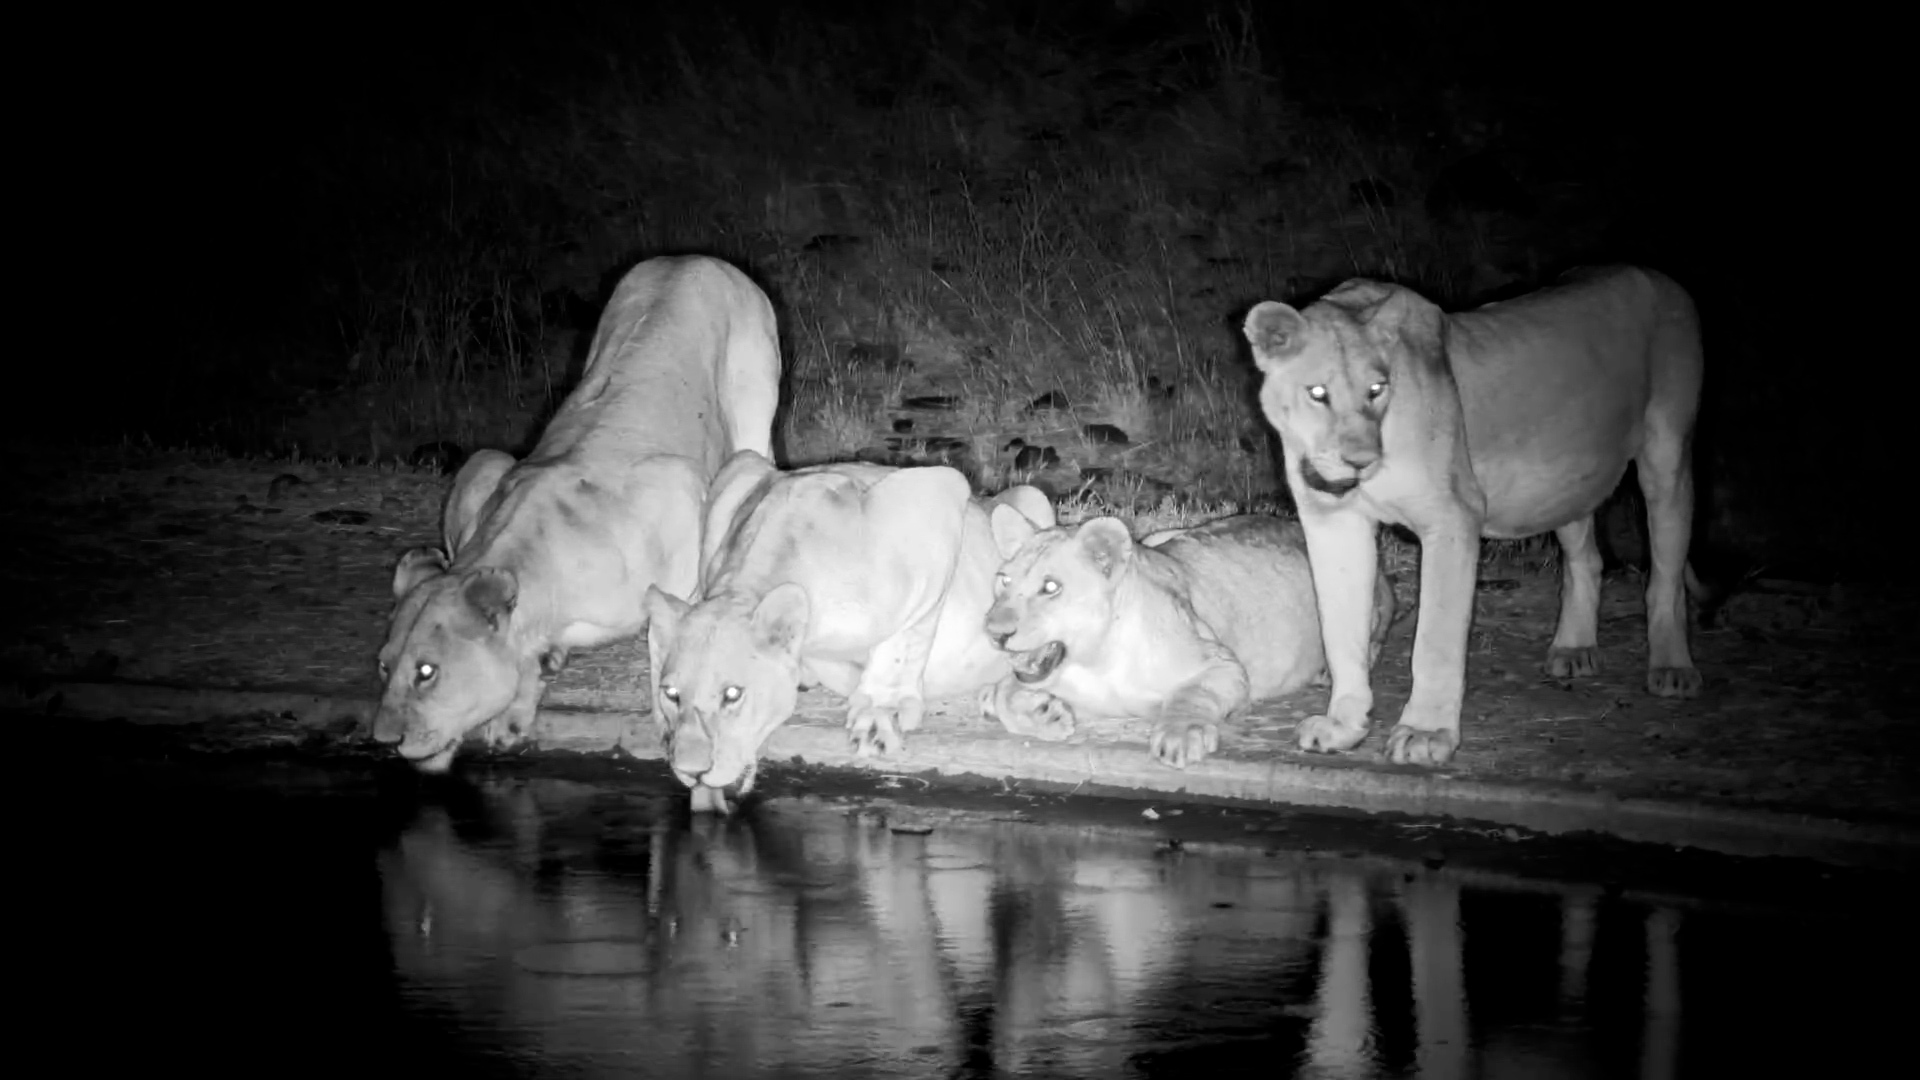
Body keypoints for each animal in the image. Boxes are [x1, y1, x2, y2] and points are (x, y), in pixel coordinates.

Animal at [371, 255, 781, 773]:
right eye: (384, 666)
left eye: (427, 671)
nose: (385, 740)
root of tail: (689, 257)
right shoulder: (490, 479)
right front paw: (516, 710)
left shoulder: (681, 498)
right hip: (505, 437)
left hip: (753, 409)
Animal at [644, 452, 1055, 813]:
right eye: (671, 694)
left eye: (733, 694)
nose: (692, 772)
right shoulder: (739, 471)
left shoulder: (938, 489)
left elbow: (908, 635)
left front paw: (881, 712)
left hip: (1030, 497)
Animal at [978, 512, 1394, 769]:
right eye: (1004, 580)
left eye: (1051, 587)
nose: (993, 632)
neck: (1096, 658)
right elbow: (1006, 693)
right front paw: (1044, 713)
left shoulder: (1223, 663)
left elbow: (1191, 694)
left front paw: (1181, 735)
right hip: (1158, 537)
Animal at [1242, 265, 1705, 766]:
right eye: (1317, 393)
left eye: (1376, 390)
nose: (1361, 461)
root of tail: (1656, 275)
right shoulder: (1333, 523)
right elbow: (1340, 629)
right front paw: (1344, 725)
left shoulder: (1452, 516)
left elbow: (1435, 638)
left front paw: (1426, 732)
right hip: (1567, 481)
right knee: (1587, 560)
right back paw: (1574, 647)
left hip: (1667, 455)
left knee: (1665, 575)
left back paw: (1673, 667)